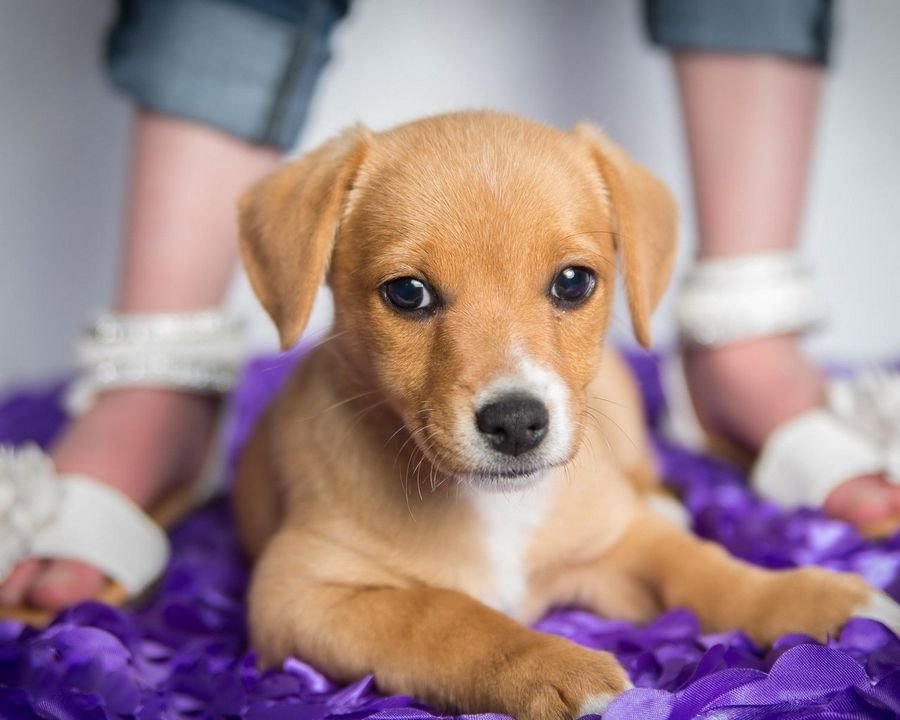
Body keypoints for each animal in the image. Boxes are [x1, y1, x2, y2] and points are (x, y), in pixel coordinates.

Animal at [234, 112, 900, 720]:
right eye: (407, 293)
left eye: (573, 282)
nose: (515, 423)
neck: (497, 507)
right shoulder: (299, 593)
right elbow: (442, 616)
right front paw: (557, 667)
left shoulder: (620, 546)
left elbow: (705, 568)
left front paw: (816, 600)